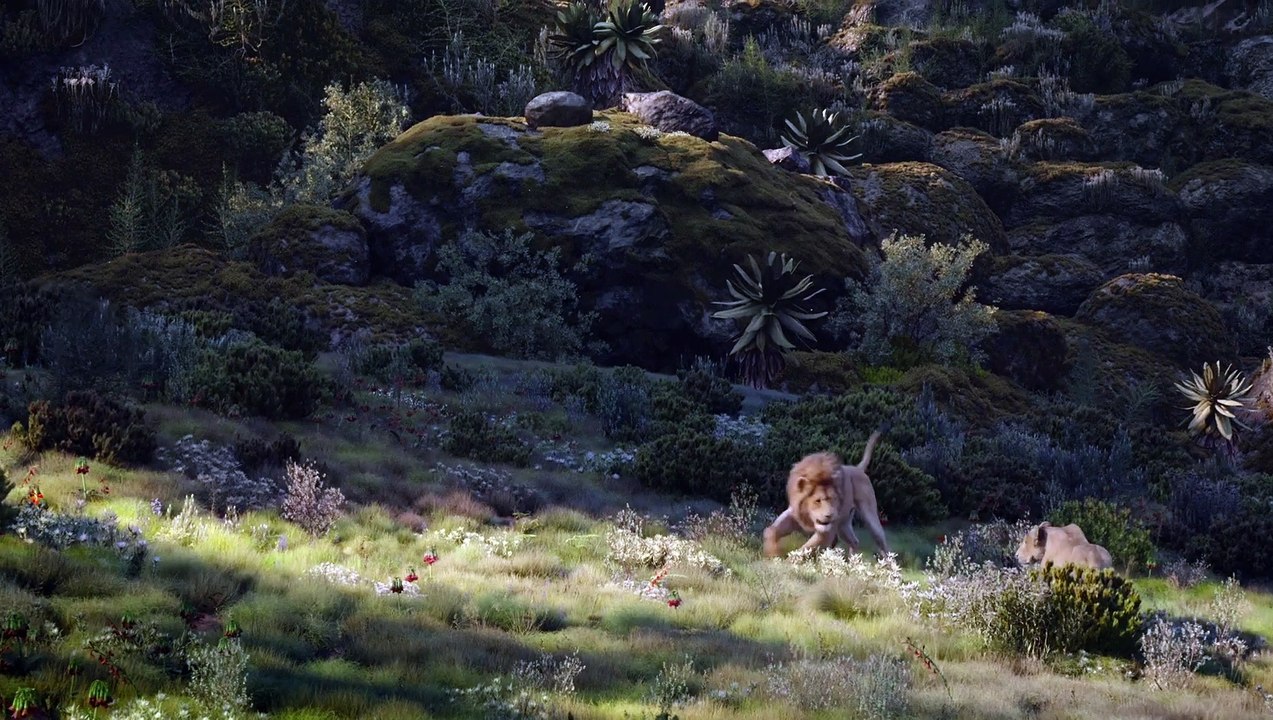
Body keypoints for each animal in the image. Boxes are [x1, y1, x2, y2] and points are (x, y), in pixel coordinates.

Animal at [762, 429, 891, 558]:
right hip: (843, 525)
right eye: (817, 501)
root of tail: (857, 468)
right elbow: (771, 530)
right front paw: (772, 552)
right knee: (854, 541)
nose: (829, 515)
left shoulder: (827, 533)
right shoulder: (794, 515)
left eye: (833, 499)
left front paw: (789, 559)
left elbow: (805, 549)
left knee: (883, 545)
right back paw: (852, 561)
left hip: (870, 519)